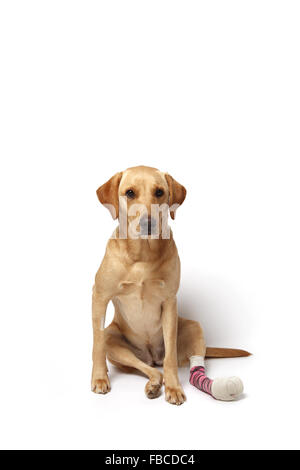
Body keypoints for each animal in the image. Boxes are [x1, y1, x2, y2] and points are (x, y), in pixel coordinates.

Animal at [91, 167, 248, 406]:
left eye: (159, 192)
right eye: (130, 193)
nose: (148, 222)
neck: (142, 255)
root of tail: (151, 356)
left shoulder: (169, 302)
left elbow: (170, 357)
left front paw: (173, 387)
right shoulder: (99, 297)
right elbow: (97, 344)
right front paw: (100, 377)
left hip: (193, 326)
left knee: (175, 362)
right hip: (114, 339)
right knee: (144, 366)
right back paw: (153, 382)